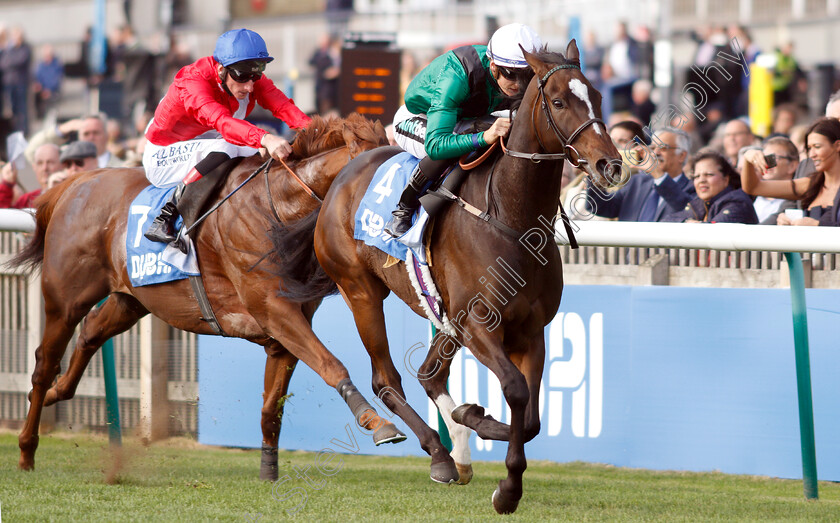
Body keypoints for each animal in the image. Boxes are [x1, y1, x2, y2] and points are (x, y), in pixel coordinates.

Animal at [4, 114, 402, 478]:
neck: (278, 211)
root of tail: (75, 184)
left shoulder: (286, 329)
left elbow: (272, 408)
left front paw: (268, 471)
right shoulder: (274, 311)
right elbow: (332, 365)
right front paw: (377, 422)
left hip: (130, 300)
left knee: (90, 333)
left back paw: (54, 395)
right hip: (64, 300)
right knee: (44, 364)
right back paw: (26, 449)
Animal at [272, 42, 620, 516]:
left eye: (598, 97)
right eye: (559, 101)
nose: (610, 164)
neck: (511, 219)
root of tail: (339, 179)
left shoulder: (530, 331)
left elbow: (531, 419)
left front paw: (481, 437)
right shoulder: (479, 325)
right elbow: (515, 391)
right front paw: (502, 480)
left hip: (441, 314)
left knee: (429, 375)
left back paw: (458, 449)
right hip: (361, 291)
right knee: (387, 379)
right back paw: (440, 454)